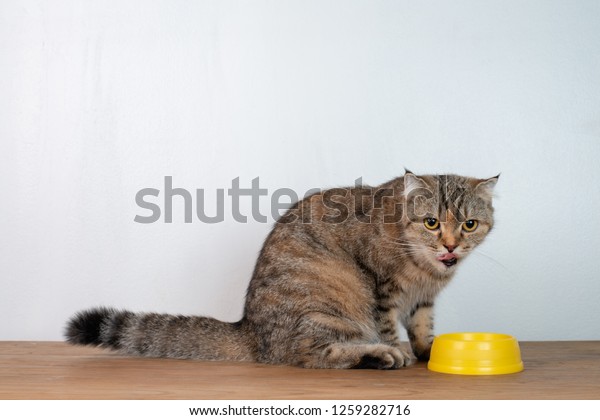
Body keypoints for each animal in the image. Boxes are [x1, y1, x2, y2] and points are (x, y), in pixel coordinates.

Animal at [64, 170, 496, 368]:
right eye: (431, 222)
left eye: (469, 224)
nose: (450, 244)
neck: (427, 269)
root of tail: (250, 329)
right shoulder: (384, 293)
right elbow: (390, 327)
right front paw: (401, 351)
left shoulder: (423, 301)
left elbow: (423, 328)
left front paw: (429, 351)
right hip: (329, 310)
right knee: (315, 354)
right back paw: (378, 355)